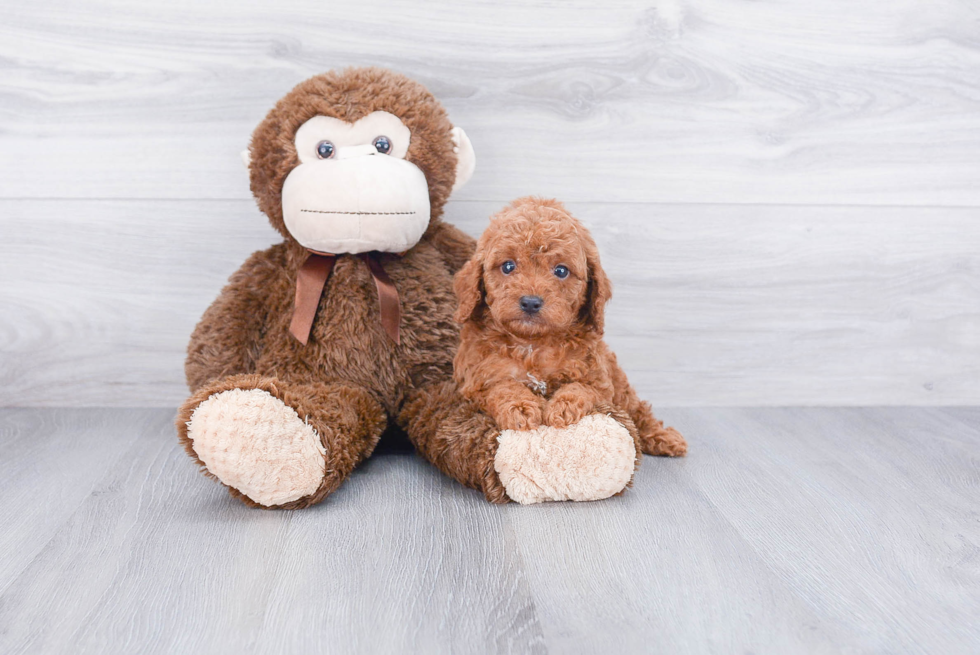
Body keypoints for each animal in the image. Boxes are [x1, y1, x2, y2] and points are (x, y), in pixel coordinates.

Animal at [454, 197, 688, 458]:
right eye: (507, 266)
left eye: (561, 270)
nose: (531, 302)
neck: (533, 343)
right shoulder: (475, 382)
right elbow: (503, 387)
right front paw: (521, 408)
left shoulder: (598, 380)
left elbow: (581, 388)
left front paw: (562, 407)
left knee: (637, 409)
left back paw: (663, 437)